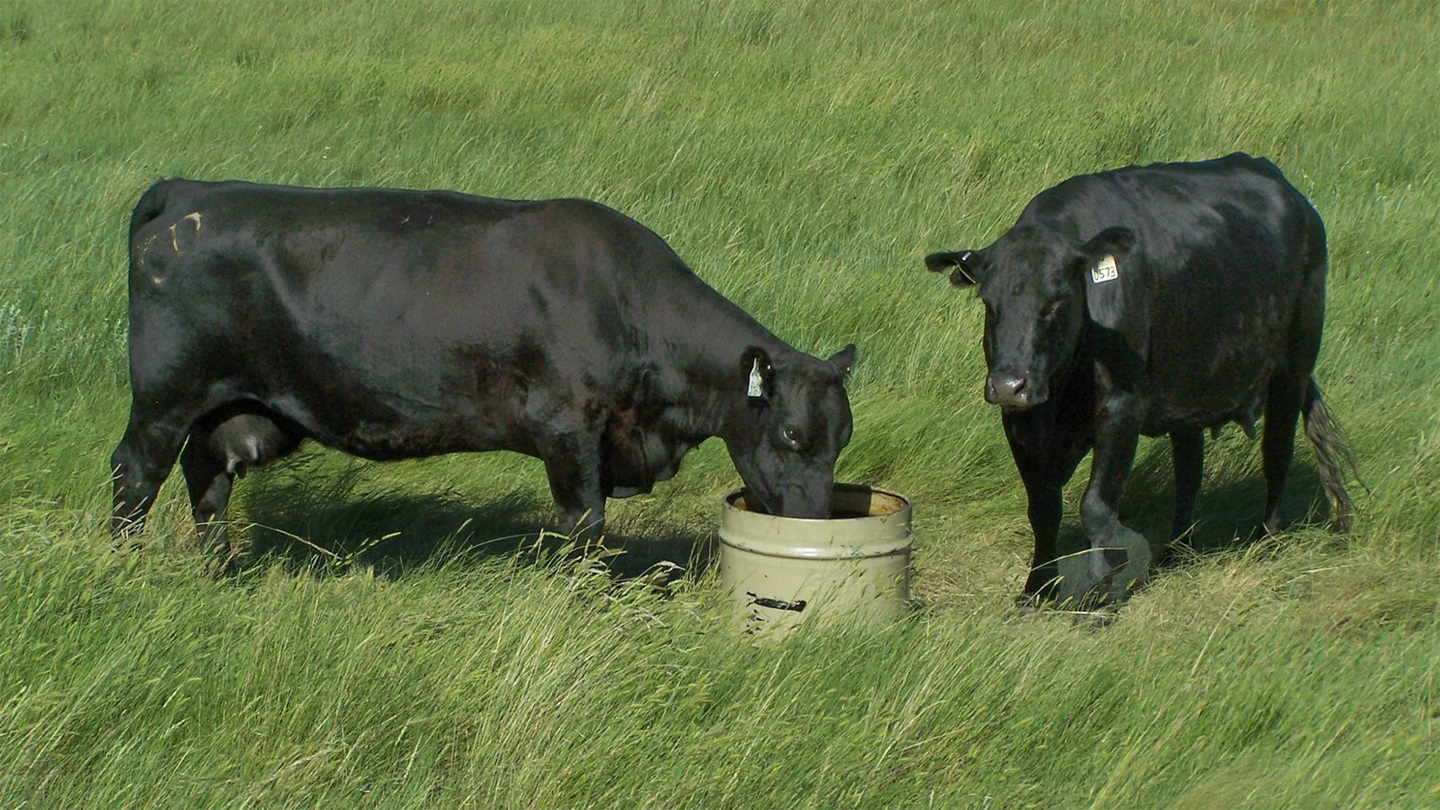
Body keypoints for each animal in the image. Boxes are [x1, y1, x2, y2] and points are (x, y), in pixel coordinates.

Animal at [111, 179, 856, 567]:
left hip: (227, 407)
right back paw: (125, 566)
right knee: (135, 473)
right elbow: (583, 526)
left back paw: (217, 569)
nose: (817, 521)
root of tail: (190, 192)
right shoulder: (567, 431)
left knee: (207, 479)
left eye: (841, 437)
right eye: (792, 435)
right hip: (165, 394)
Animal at [924, 153, 1358, 605]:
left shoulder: (1122, 405)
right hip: (1190, 386)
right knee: (1189, 471)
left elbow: (1097, 506)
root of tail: (1285, 188)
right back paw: (1178, 550)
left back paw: (1267, 537)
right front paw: (1036, 590)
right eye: (988, 302)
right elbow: (1042, 508)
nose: (1010, 383)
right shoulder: (1020, 418)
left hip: (1293, 367)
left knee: (1276, 453)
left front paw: (1100, 595)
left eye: (1055, 302)